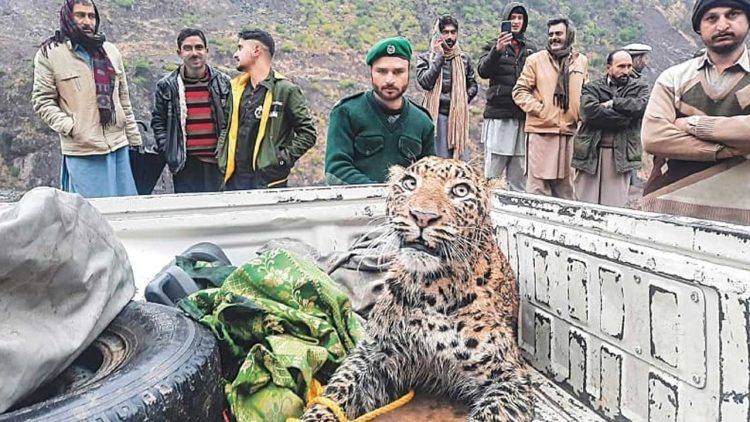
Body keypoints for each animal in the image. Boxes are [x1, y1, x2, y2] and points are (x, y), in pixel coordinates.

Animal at [302, 157, 536, 420]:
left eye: (461, 191)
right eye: (410, 183)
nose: (422, 217)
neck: (431, 289)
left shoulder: (508, 375)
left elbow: (489, 414)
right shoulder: (375, 354)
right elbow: (337, 390)